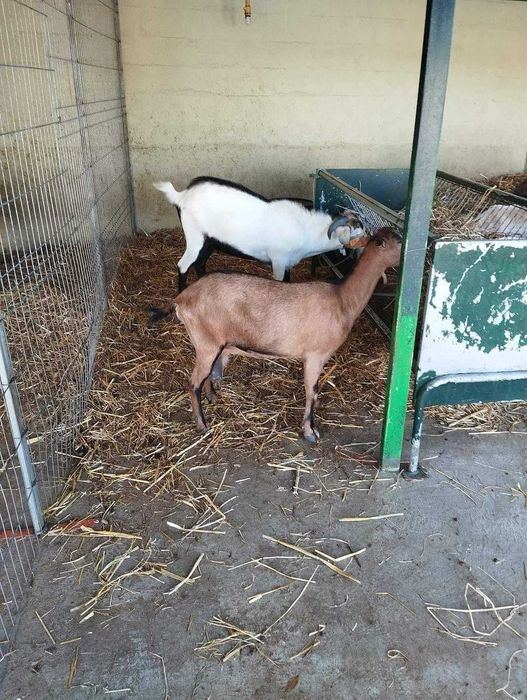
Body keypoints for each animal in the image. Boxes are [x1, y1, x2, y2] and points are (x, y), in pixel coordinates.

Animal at [149, 227, 401, 443]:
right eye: (394, 241)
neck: (342, 299)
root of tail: (181, 299)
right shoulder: (315, 356)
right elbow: (312, 392)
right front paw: (310, 432)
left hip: (212, 345)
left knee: (206, 376)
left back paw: (213, 398)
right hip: (206, 343)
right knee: (193, 384)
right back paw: (202, 426)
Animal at [153, 177, 366, 291]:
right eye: (359, 235)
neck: (305, 229)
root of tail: (182, 196)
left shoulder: (287, 262)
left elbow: (288, 282)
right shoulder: (278, 260)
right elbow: (279, 282)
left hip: (210, 241)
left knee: (200, 263)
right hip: (195, 237)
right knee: (183, 264)